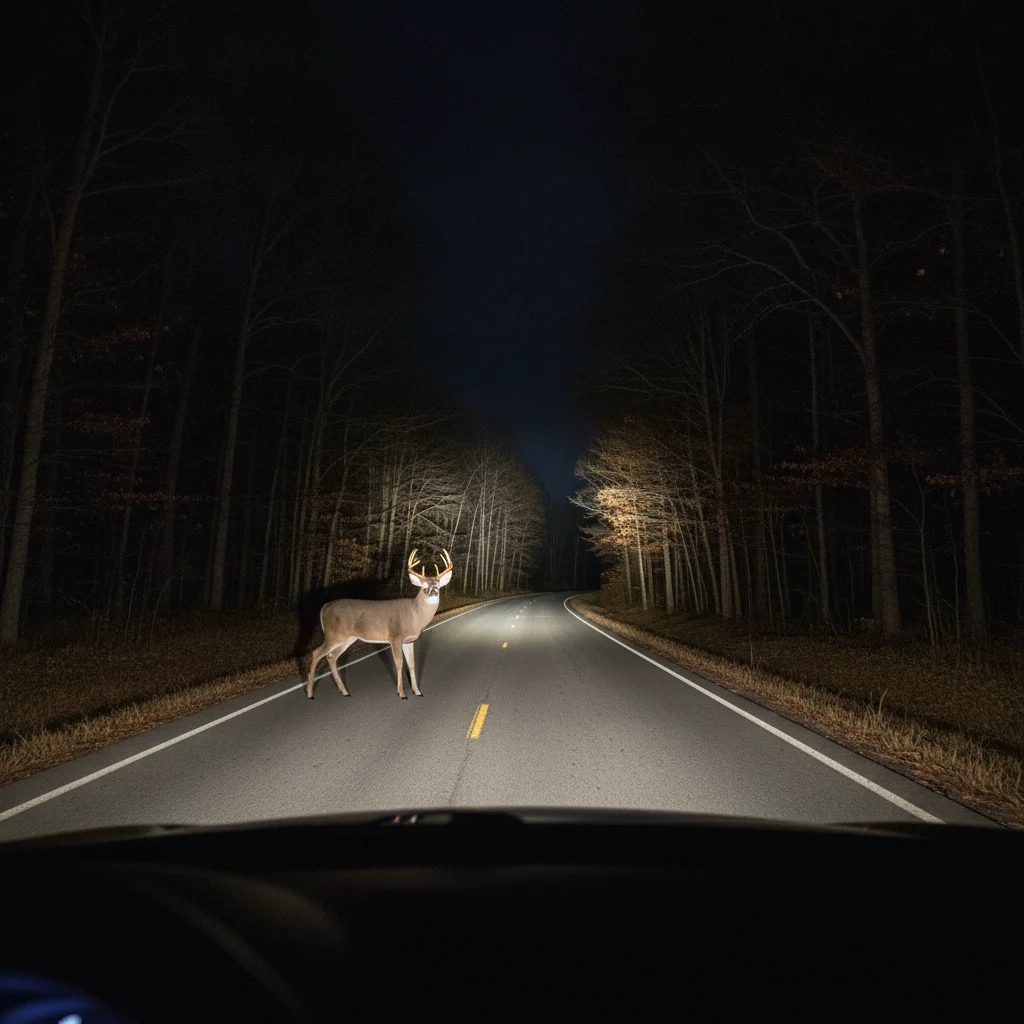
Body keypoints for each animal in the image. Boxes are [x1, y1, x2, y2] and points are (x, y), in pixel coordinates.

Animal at [305, 548, 453, 700]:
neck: (415, 615)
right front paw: (402, 693)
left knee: (331, 657)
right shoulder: (395, 637)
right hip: (333, 634)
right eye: (424, 586)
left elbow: (412, 664)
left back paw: (345, 691)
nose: (433, 591)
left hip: (348, 638)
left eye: (438, 585)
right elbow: (399, 663)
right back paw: (310, 693)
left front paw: (417, 691)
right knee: (316, 653)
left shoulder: (409, 641)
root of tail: (324, 608)